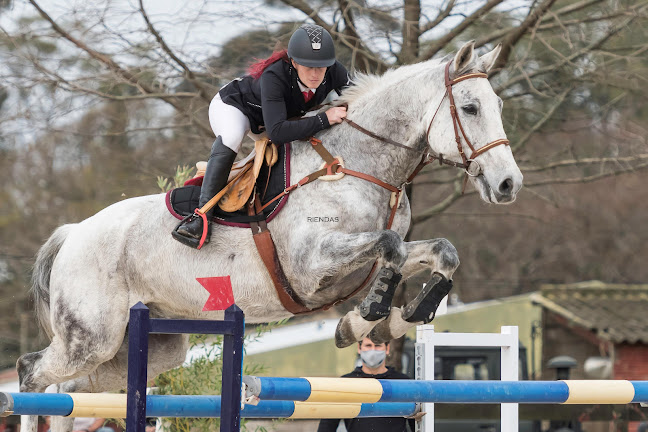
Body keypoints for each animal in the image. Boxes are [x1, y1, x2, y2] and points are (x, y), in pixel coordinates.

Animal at [17, 41, 520, 432]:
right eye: (470, 108)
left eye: (498, 107)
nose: (508, 184)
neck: (360, 166)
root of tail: (72, 234)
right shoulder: (312, 266)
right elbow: (390, 248)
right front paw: (369, 314)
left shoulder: (360, 259)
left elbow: (440, 252)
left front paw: (398, 316)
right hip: (91, 337)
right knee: (32, 376)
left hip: (145, 349)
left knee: (72, 391)